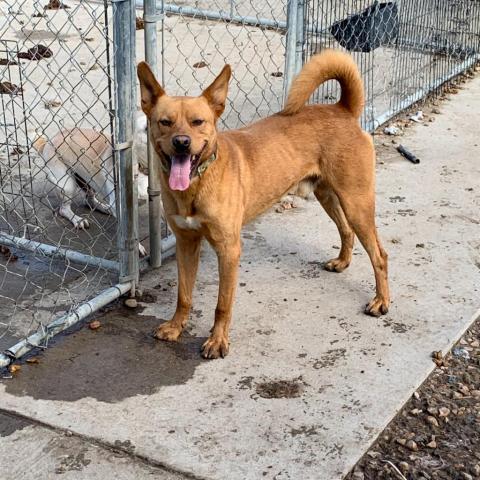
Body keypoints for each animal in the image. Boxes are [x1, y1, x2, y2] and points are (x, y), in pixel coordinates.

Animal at [137, 50, 388, 360]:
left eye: (198, 122)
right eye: (165, 122)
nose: (182, 143)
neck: (198, 182)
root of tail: (342, 109)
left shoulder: (229, 250)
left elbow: (222, 304)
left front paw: (218, 340)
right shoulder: (186, 243)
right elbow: (183, 295)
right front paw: (175, 327)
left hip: (356, 202)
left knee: (379, 255)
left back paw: (381, 301)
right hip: (328, 195)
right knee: (346, 230)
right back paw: (342, 261)